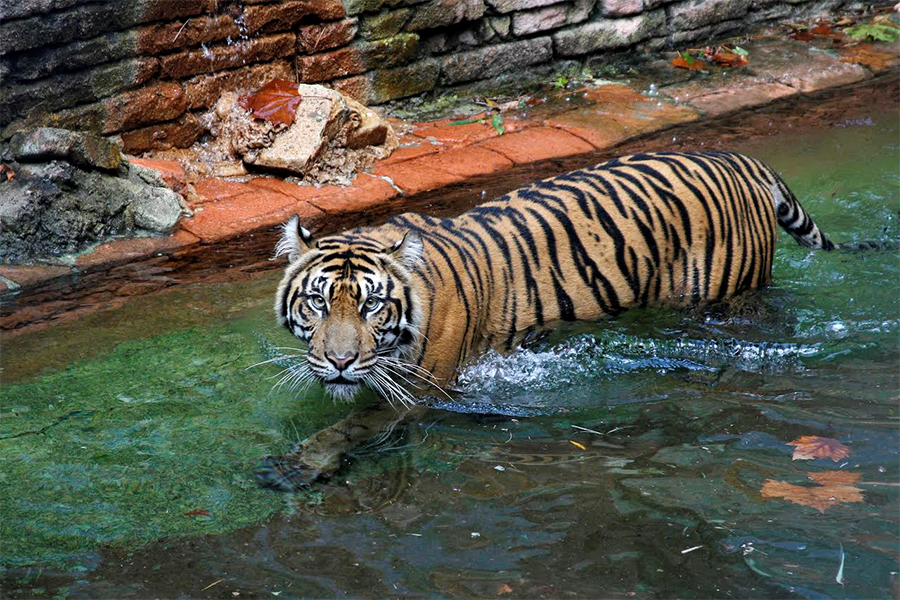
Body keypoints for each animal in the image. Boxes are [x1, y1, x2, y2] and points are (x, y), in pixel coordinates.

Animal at [253, 148, 836, 490]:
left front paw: (298, 465)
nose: (340, 361)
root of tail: (740, 158)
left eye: (372, 305)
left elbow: (348, 426)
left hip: (730, 301)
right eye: (317, 302)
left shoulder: (420, 392)